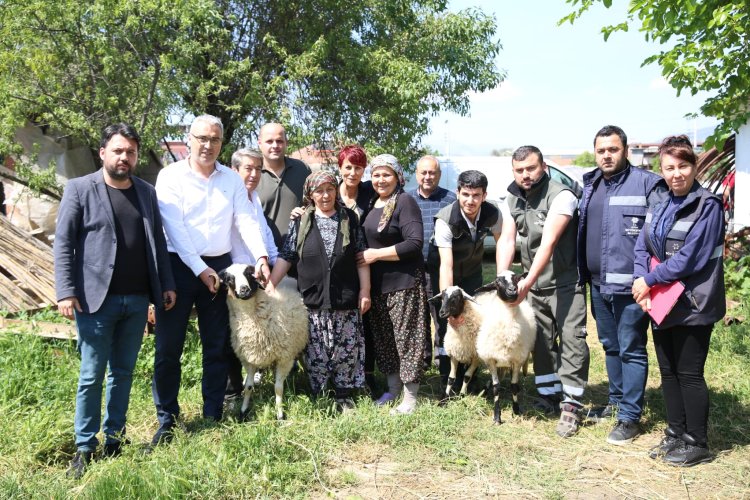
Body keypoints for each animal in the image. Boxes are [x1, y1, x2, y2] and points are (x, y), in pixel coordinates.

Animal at [219, 264, 310, 420]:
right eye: (230, 279)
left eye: (249, 274)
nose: (244, 290)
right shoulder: (248, 359)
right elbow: (248, 387)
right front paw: (243, 411)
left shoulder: (284, 358)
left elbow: (278, 388)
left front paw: (280, 414)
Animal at [478, 272, 536, 424]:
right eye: (497, 282)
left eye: (516, 279)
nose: (512, 290)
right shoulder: (491, 360)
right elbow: (496, 388)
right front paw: (497, 417)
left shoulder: (517, 360)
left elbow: (514, 386)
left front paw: (516, 410)